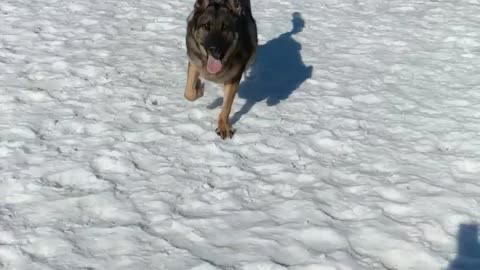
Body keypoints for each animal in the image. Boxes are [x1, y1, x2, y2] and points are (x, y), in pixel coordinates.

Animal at [185, 0, 258, 139]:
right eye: (206, 26)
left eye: (225, 27)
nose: (214, 49)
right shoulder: (194, 61)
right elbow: (189, 93)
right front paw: (198, 89)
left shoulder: (233, 78)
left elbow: (226, 106)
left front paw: (223, 126)